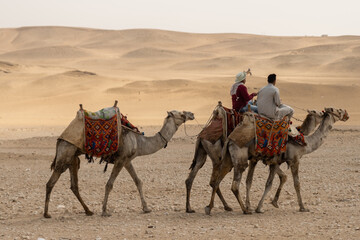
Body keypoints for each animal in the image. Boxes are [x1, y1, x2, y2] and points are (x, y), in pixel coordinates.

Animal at [44, 109, 195, 218]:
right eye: (181, 113)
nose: (192, 114)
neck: (140, 142)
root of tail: (61, 137)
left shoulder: (127, 160)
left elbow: (138, 181)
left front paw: (146, 208)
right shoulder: (120, 160)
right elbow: (109, 184)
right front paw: (105, 211)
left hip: (73, 158)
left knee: (74, 185)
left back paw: (88, 211)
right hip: (66, 151)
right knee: (51, 182)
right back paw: (46, 214)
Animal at [205, 107, 348, 214]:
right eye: (338, 110)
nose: (346, 114)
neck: (305, 143)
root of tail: (230, 138)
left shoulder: (274, 162)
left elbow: (270, 183)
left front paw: (266, 205)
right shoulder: (294, 160)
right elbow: (296, 183)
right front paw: (302, 207)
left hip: (228, 159)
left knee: (217, 181)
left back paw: (210, 207)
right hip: (240, 158)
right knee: (234, 185)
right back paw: (245, 210)